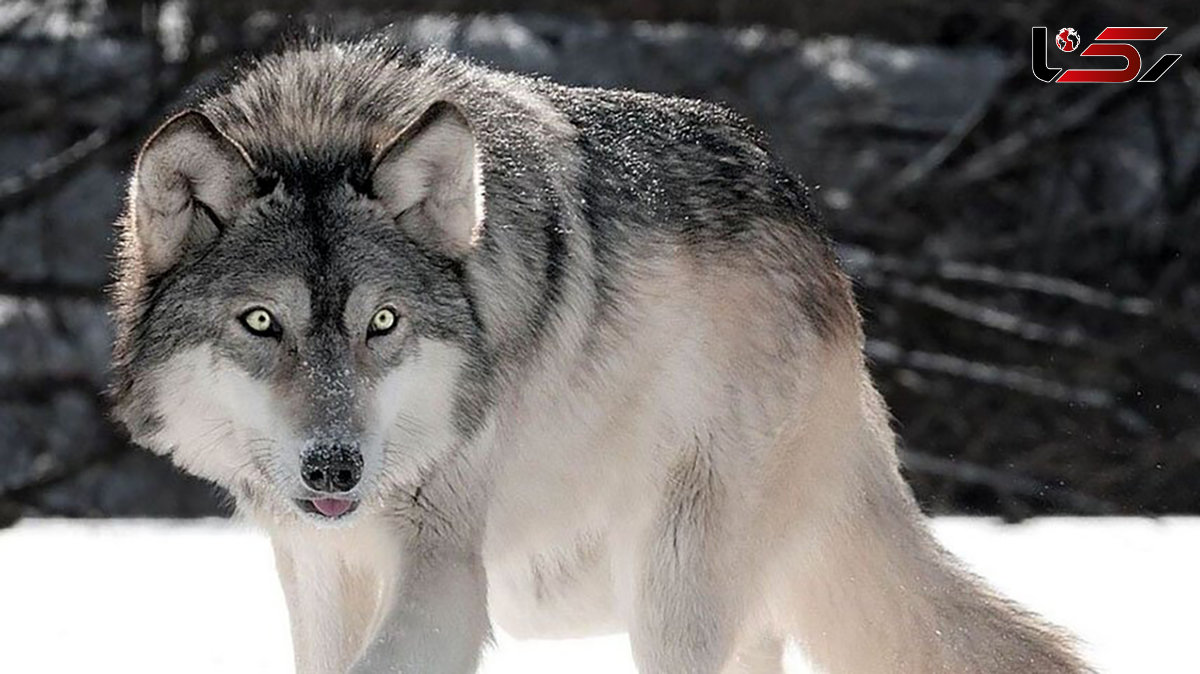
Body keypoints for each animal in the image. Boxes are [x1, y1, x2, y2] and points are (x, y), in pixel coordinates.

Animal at [108, 39, 1094, 666]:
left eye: (382, 323)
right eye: (261, 324)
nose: (335, 468)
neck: (323, 123)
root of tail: (817, 238)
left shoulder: (444, 572)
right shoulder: (319, 570)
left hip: (666, 585)